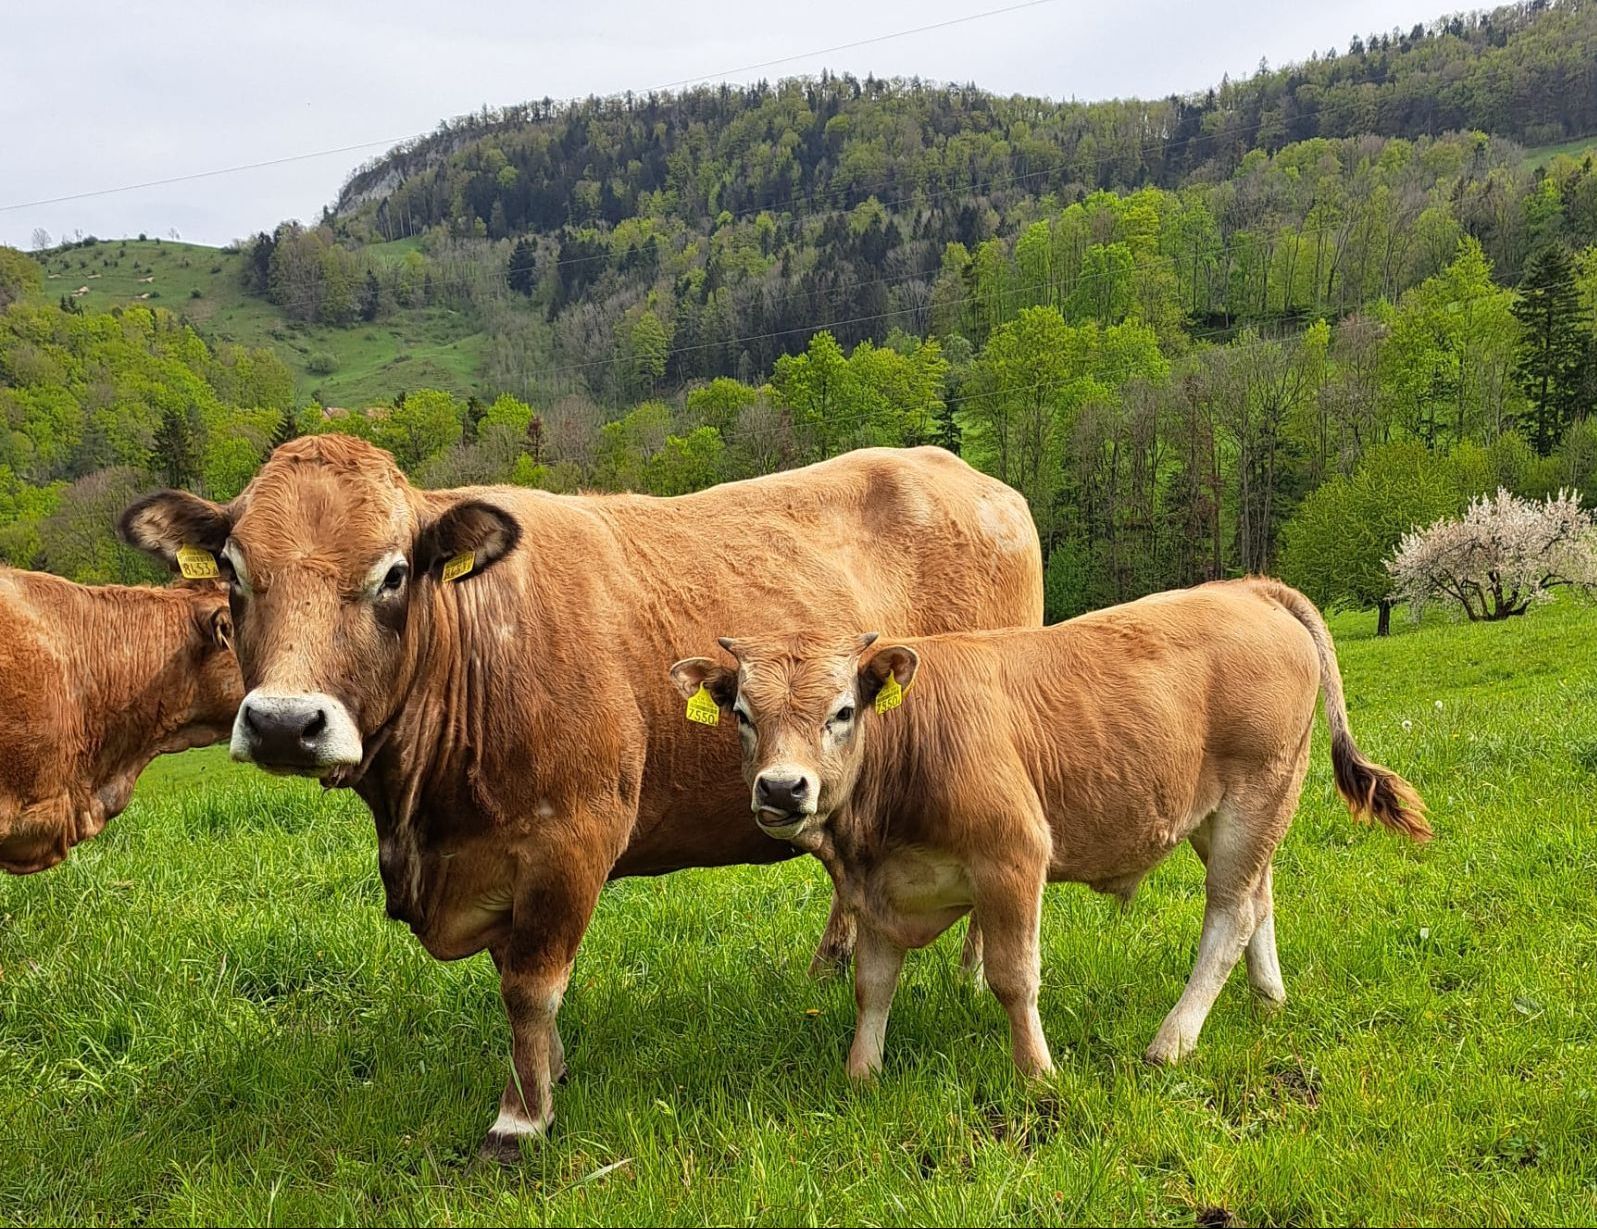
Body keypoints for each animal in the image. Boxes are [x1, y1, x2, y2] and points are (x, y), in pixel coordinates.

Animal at [116, 434, 1043, 1157]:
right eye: (233, 571)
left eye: (392, 575)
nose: (282, 723)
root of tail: (965, 474)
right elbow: (515, 975)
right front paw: (550, 1071)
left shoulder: (570, 838)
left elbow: (530, 982)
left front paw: (521, 1117)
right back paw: (829, 963)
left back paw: (965, 973)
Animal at [668, 577, 1430, 1081]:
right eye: (742, 714)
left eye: (843, 710)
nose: (781, 787)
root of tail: (1246, 587)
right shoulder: (879, 888)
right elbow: (872, 984)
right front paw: (863, 1072)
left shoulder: (1012, 857)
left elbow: (1013, 977)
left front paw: (1037, 1074)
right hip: (1229, 813)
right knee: (1259, 897)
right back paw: (1268, 1000)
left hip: (1258, 793)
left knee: (1230, 913)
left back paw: (1172, 1040)